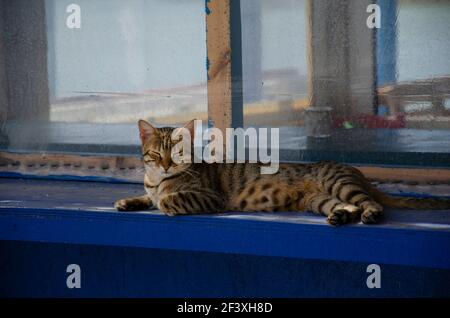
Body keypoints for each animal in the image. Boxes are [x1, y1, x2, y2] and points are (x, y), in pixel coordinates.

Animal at [113, 119, 450, 226]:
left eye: (178, 153)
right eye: (156, 154)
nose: (166, 165)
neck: (157, 180)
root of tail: (356, 172)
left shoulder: (210, 197)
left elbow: (169, 200)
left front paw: (165, 202)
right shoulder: (150, 188)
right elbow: (145, 198)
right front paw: (127, 202)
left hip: (338, 184)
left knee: (371, 202)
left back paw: (370, 214)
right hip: (319, 200)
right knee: (349, 206)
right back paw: (341, 216)